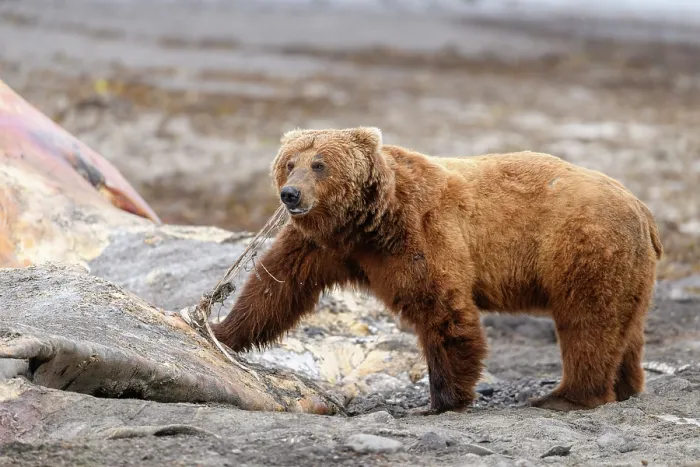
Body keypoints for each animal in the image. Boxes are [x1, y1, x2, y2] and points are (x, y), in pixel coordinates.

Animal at [213, 127, 662, 413]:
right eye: (290, 163)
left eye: (320, 164)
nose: (290, 194)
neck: (366, 222)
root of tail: (643, 208)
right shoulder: (320, 246)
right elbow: (275, 288)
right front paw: (221, 331)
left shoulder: (419, 231)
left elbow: (441, 309)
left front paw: (442, 400)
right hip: (628, 267)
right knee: (624, 327)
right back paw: (625, 386)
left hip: (584, 247)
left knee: (588, 322)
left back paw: (564, 396)